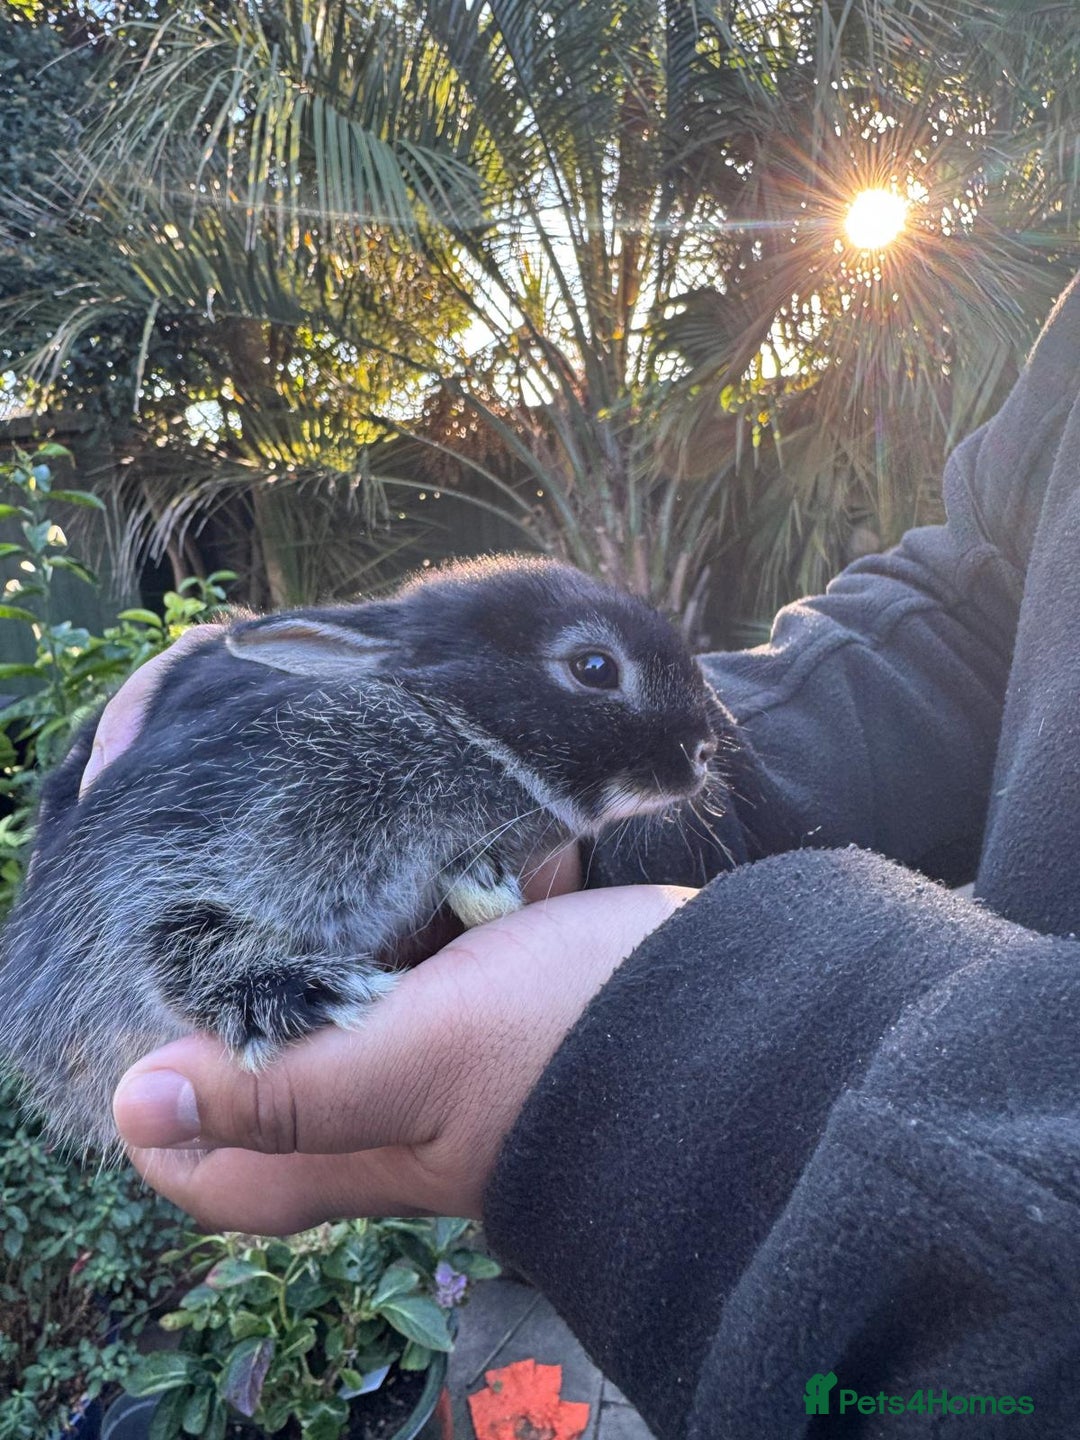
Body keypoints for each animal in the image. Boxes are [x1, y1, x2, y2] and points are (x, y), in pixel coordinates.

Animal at [0, 555, 721, 1154]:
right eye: (594, 667)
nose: (706, 749)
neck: (448, 720)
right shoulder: (197, 833)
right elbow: (160, 934)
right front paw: (291, 991)